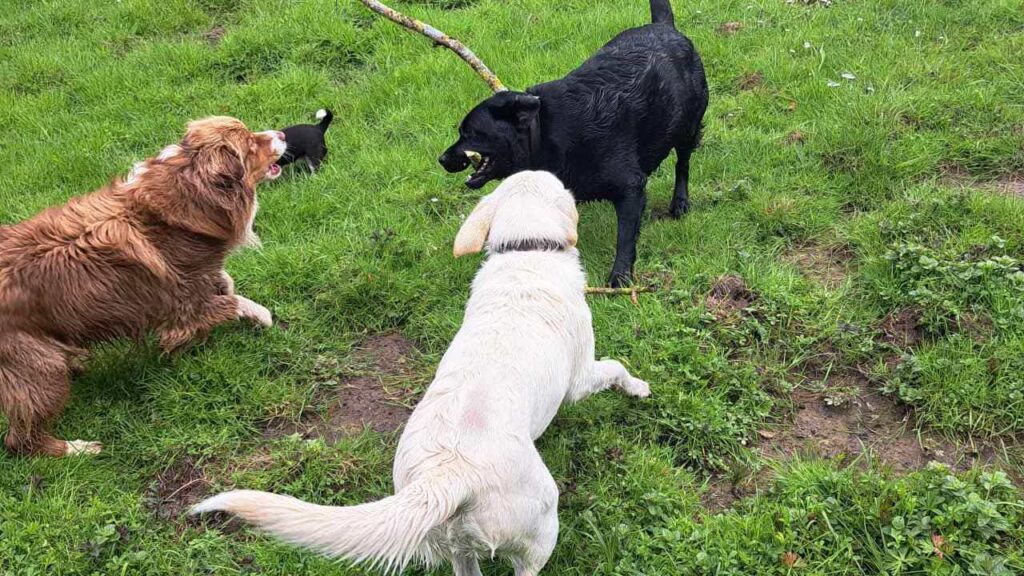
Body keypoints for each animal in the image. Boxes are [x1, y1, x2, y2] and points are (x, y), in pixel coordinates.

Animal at [0, 117, 286, 457]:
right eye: (251, 144)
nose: (282, 134)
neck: (190, 193)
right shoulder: (182, 306)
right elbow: (234, 302)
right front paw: (262, 317)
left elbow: (224, 281)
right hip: (42, 371)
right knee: (20, 439)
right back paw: (79, 449)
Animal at [192, 170, 647, 573]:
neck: (525, 251)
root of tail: (446, 477)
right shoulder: (580, 376)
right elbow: (616, 368)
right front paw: (638, 388)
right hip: (538, 529)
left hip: (456, 543)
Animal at [436, 0, 708, 284]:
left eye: (470, 133)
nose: (441, 159)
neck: (542, 132)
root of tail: (665, 27)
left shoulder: (630, 188)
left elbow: (624, 238)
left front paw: (620, 276)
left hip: (688, 127)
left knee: (682, 165)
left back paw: (680, 202)